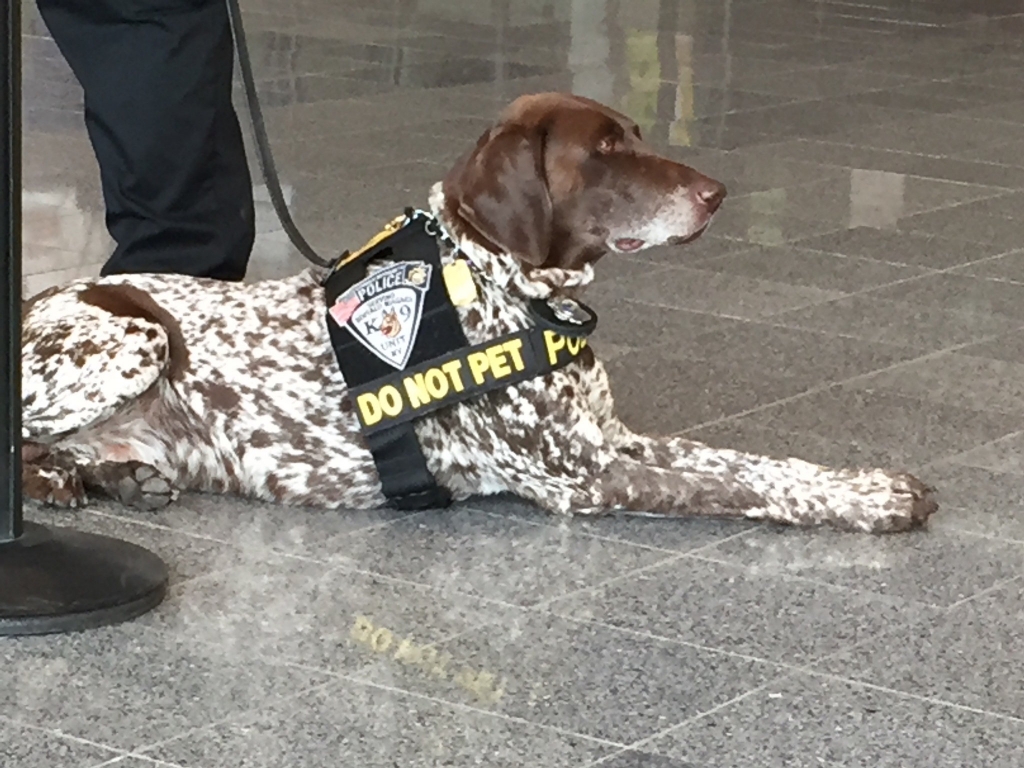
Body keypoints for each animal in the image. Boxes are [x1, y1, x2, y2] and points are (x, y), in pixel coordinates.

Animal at [19, 93, 937, 532]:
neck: (497, 285)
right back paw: (62, 481)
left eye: (637, 134)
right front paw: (869, 507)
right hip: (135, 334)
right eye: (607, 150)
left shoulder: (612, 439)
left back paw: (119, 477)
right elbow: (742, 490)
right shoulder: (585, 478)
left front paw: (870, 483)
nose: (717, 194)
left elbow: (760, 464)